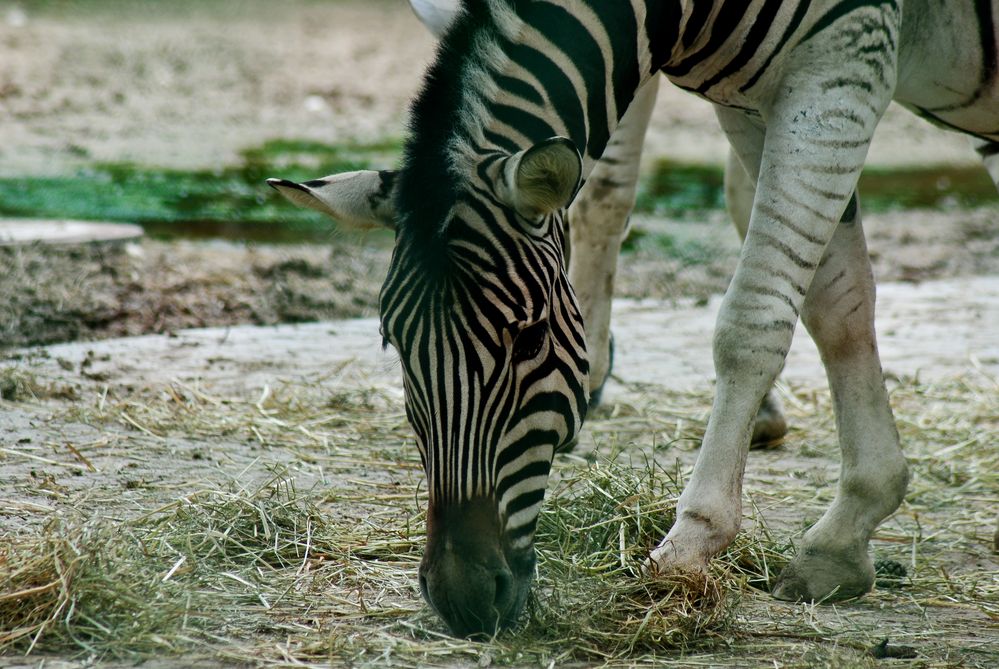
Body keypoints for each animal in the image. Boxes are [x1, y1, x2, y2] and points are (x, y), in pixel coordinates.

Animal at [270, 0, 996, 636]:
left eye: (529, 337)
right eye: (394, 345)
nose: (462, 599)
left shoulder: (842, 62)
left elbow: (750, 319)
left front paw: (691, 545)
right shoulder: (756, 99)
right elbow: (832, 300)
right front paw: (846, 536)